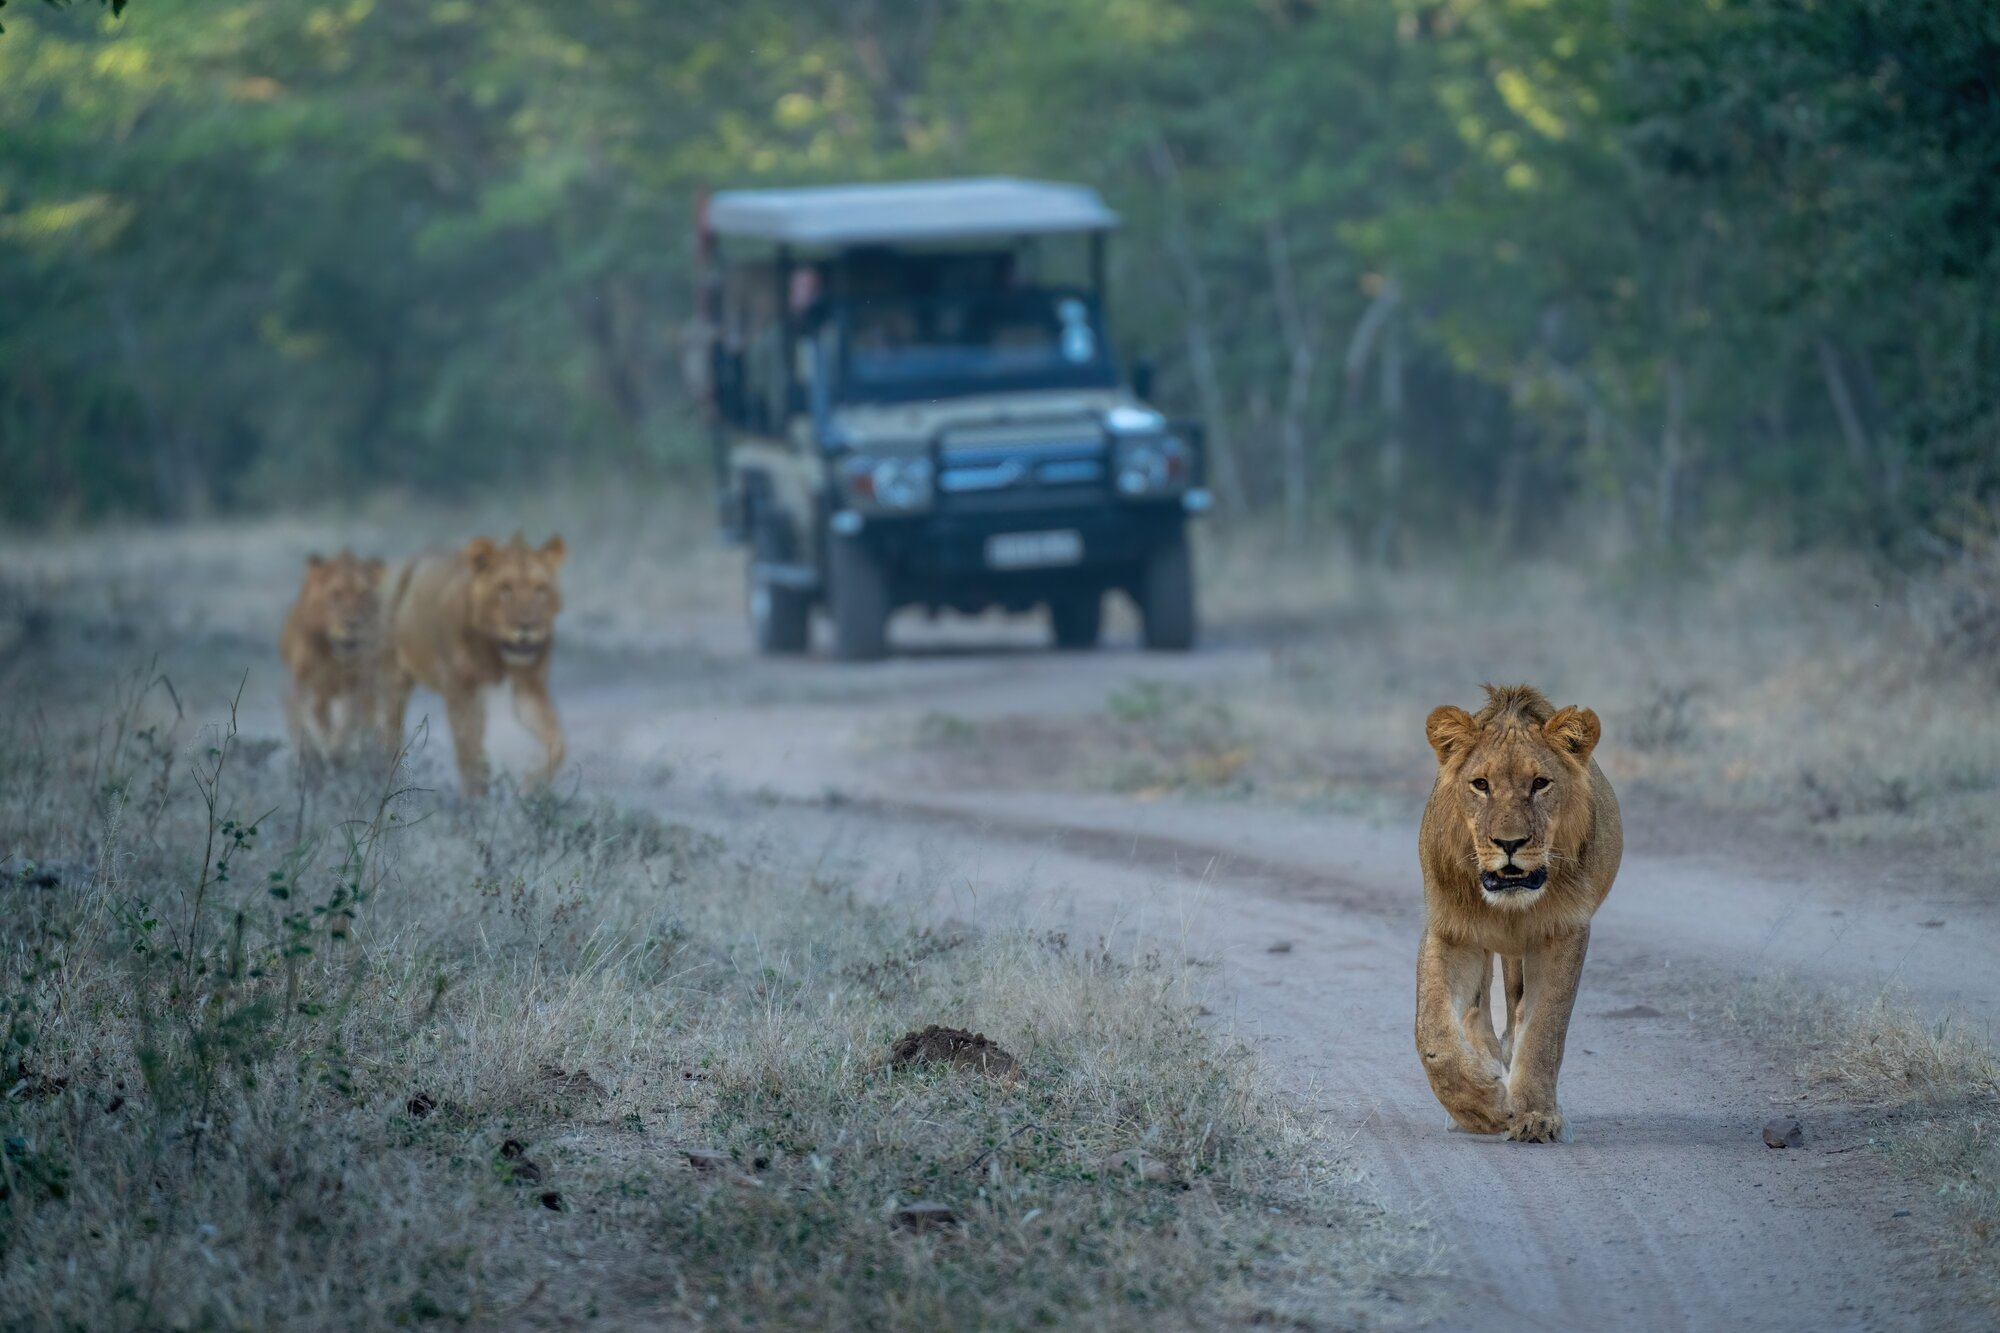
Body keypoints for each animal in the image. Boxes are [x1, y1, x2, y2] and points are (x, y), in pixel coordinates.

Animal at [279, 550, 387, 764]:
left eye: (364, 593)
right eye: (336, 594)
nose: (352, 624)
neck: (333, 658)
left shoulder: (356, 682)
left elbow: (347, 717)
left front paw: (335, 748)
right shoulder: (304, 682)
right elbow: (306, 715)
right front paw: (316, 748)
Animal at [382, 534, 566, 797]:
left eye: (540, 589)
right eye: (505, 588)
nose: (527, 626)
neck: (493, 647)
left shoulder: (529, 685)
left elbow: (558, 744)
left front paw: (529, 785)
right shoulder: (459, 688)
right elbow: (467, 751)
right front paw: (476, 801)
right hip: (393, 677)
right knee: (389, 731)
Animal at [1415, 683, 1622, 1143]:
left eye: (1540, 783)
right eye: (1480, 785)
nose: (1509, 843)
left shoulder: (1563, 931)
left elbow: (1545, 1028)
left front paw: (1536, 1116)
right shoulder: (1452, 930)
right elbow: (1433, 1035)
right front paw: (1482, 1107)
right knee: (1477, 1014)